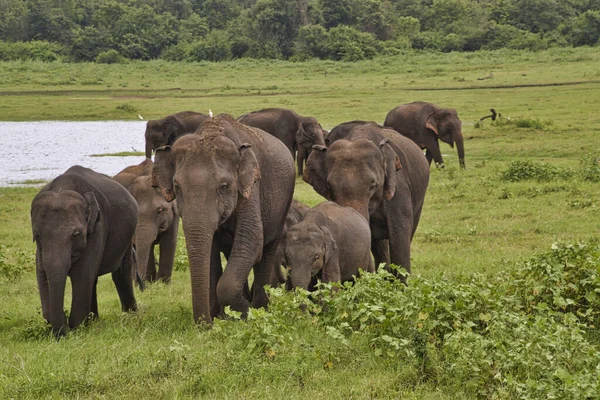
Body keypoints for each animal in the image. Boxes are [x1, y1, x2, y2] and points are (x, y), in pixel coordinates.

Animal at [31, 166, 138, 338]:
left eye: (76, 234)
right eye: (37, 235)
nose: (63, 333)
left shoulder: (97, 228)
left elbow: (82, 273)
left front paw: (76, 329)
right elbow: (42, 272)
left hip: (128, 235)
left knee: (121, 272)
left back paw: (130, 315)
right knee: (93, 278)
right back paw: (93, 320)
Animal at [152, 113, 296, 324]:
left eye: (224, 186)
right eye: (177, 186)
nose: (204, 325)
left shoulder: (251, 188)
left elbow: (252, 240)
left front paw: (243, 312)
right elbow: (212, 252)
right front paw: (222, 316)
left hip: (281, 207)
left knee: (266, 250)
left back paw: (259, 307)